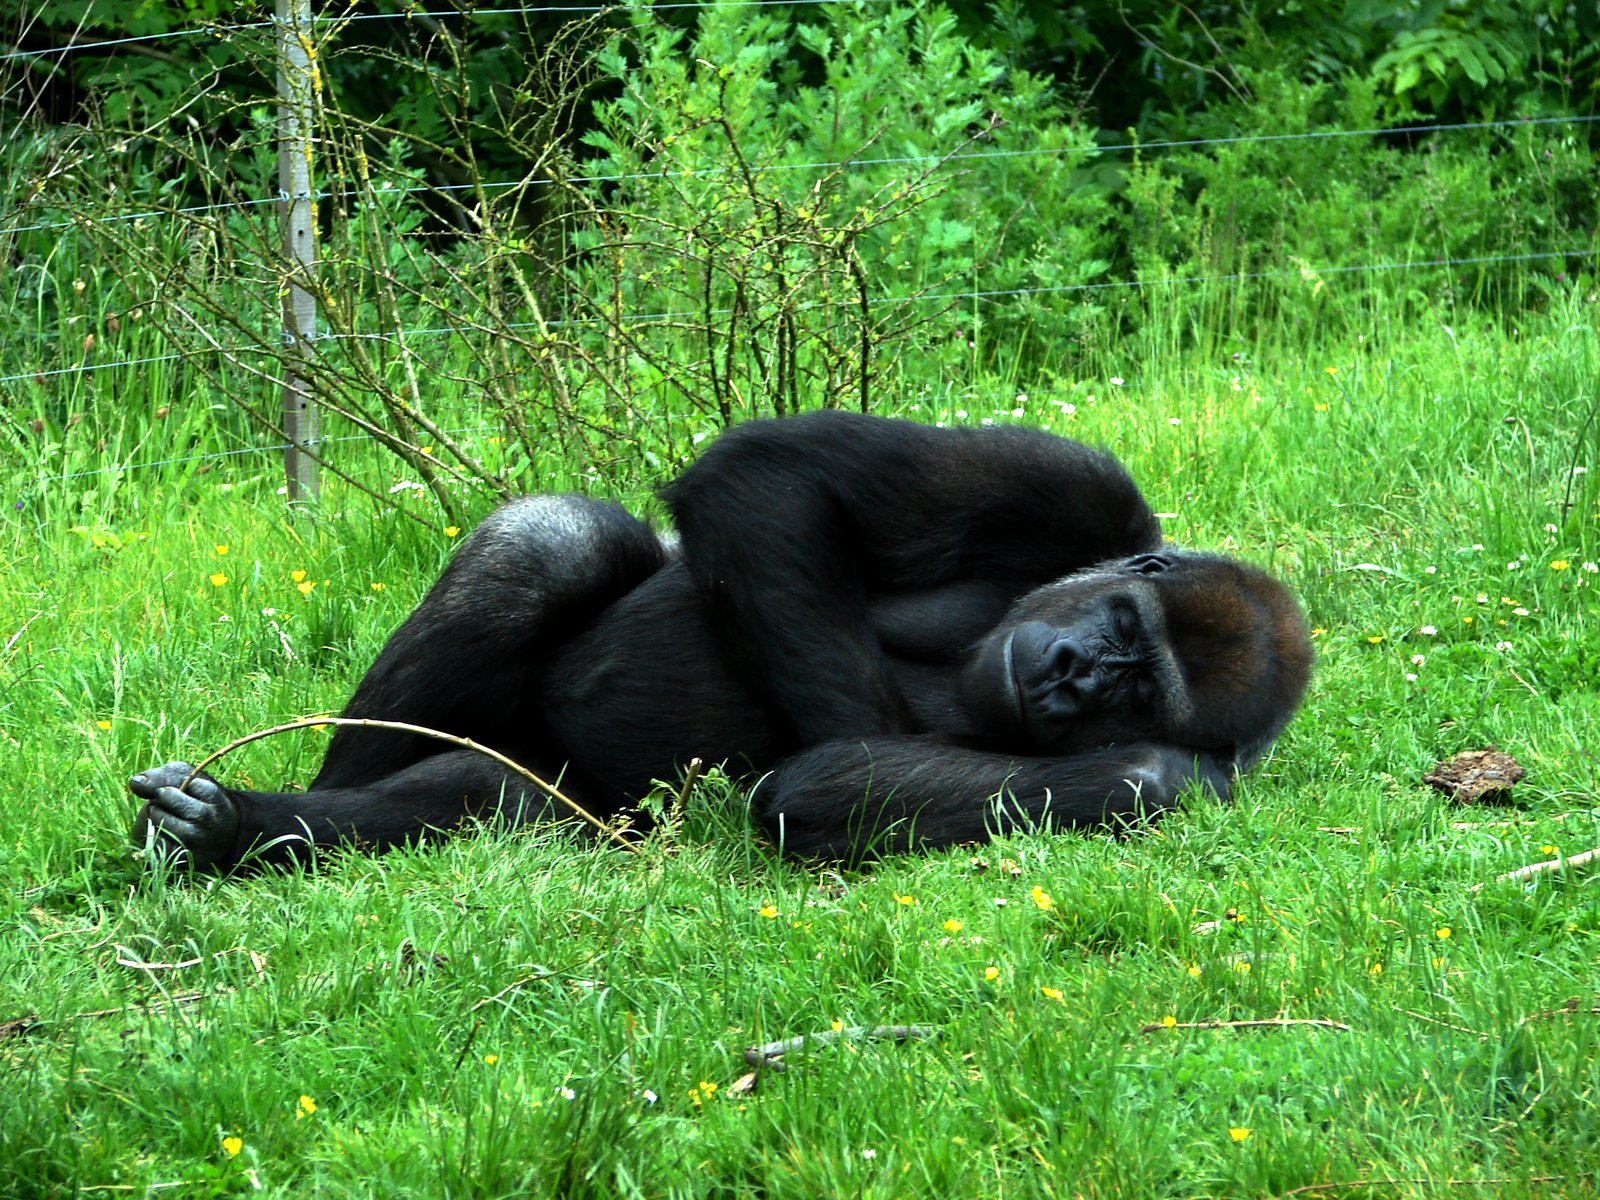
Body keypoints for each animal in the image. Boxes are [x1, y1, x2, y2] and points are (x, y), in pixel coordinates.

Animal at [131, 409, 1312, 870]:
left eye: (1135, 688)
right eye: (1118, 628)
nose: (1070, 678)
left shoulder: (1196, 777)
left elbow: (826, 781)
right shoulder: (1079, 492)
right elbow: (773, 474)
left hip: (583, 810)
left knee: (503, 799)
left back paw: (238, 830)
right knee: (553, 543)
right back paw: (261, 811)